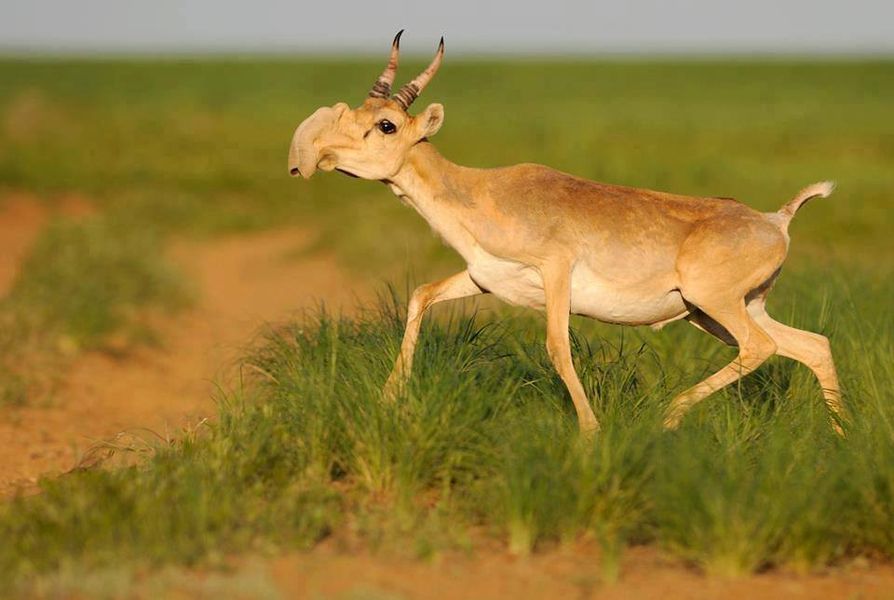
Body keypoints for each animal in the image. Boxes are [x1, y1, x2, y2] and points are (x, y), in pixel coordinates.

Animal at [288, 32, 848, 434]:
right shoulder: (484, 279)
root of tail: (775, 220)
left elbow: (558, 346)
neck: (481, 191)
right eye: (357, 111)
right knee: (812, 345)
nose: (316, 155)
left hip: (714, 304)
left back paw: (669, 416)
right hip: (721, 311)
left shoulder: (555, 271)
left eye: (385, 125)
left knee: (761, 348)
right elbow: (420, 295)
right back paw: (840, 439)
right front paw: (390, 399)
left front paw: (591, 433)